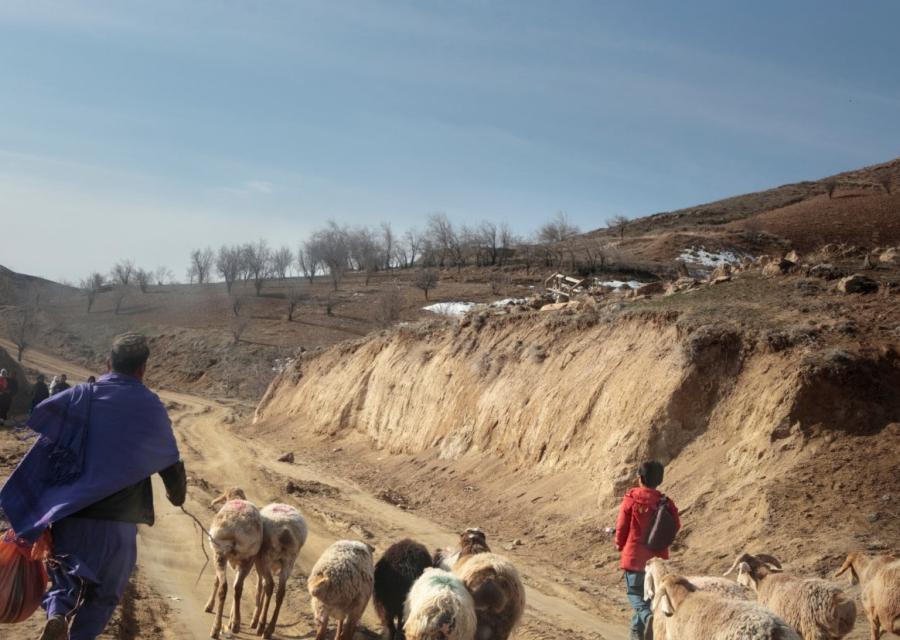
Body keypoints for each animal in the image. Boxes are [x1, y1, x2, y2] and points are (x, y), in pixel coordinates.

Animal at [202, 488, 262, 636]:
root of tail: (237, 525)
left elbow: (216, 581)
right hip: (247, 559)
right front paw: (232, 619)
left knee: (223, 586)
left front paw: (209, 606)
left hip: (220, 553)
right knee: (237, 588)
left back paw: (216, 628)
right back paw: (235, 624)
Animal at [250, 504, 310, 640]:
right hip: (289, 561)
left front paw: (255, 620)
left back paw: (261, 626)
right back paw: (269, 630)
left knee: (270, 586)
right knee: (281, 592)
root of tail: (286, 530)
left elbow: (260, 586)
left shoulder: (260, 563)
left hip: (268, 557)